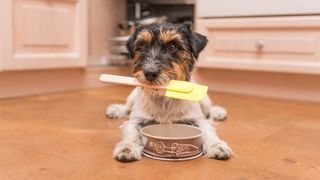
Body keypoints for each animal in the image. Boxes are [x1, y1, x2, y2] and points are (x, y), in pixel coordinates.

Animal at [106, 22, 231, 162]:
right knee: (127, 108)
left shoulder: (198, 119)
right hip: (132, 97)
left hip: (204, 100)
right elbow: (131, 133)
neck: (164, 97)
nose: (150, 72)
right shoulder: (135, 120)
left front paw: (217, 145)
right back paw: (115, 110)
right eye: (142, 46)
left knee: (209, 110)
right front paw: (127, 147)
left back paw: (218, 112)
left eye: (172, 47)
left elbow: (208, 130)